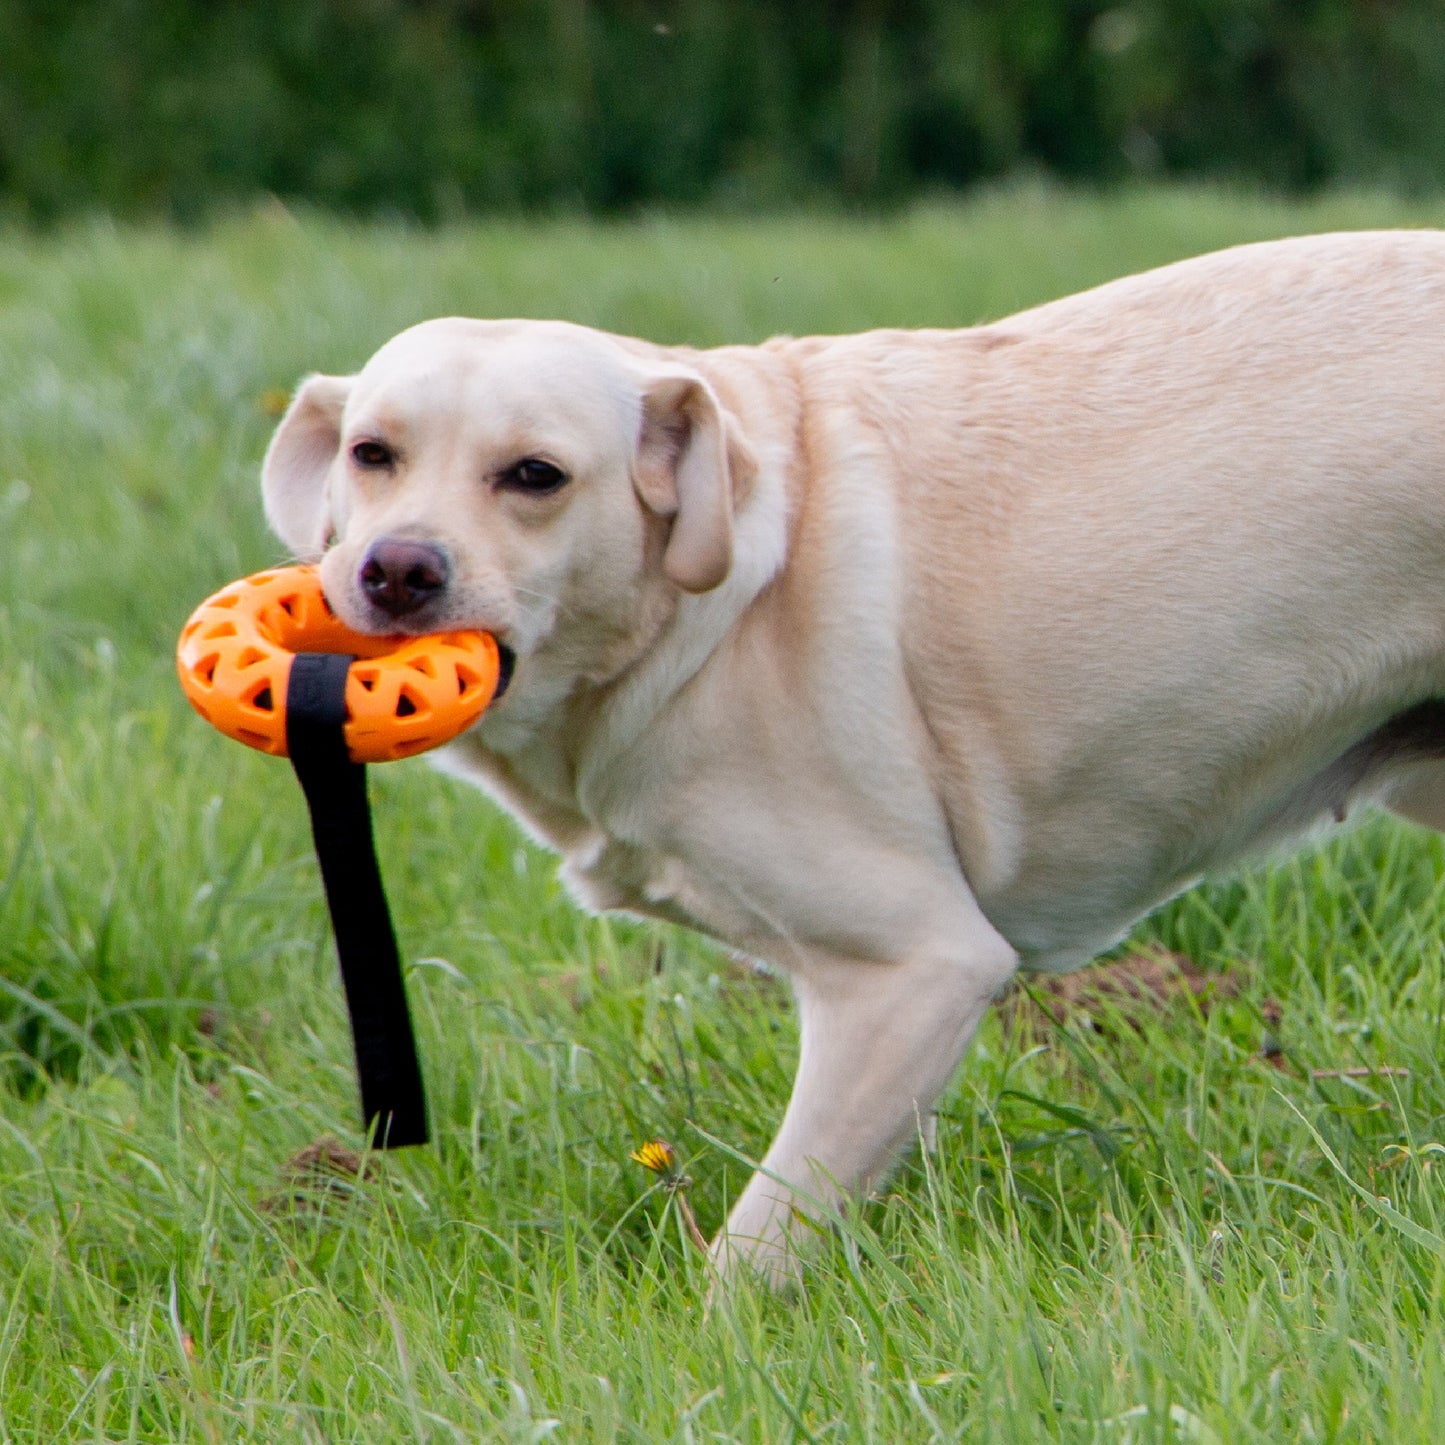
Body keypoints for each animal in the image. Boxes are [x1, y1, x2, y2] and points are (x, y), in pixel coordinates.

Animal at [265, 231, 1445, 1283]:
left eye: (535, 475)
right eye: (372, 454)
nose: (395, 569)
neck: (713, 600)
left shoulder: (915, 969)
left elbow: (753, 1251)